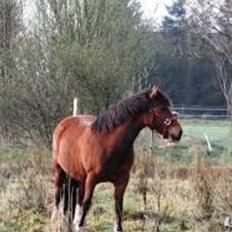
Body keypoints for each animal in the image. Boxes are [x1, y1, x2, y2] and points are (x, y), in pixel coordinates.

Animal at [51, 86, 182, 231]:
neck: (108, 143)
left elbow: (118, 206)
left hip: (78, 176)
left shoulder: (122, 181)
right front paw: (80, 227)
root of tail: (65, 123)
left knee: (76, 199)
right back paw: (55, 220)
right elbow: (87, 202)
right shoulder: (92, 179)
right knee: (58, 194)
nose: (178, 132)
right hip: (59, 170)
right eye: (162, 107)